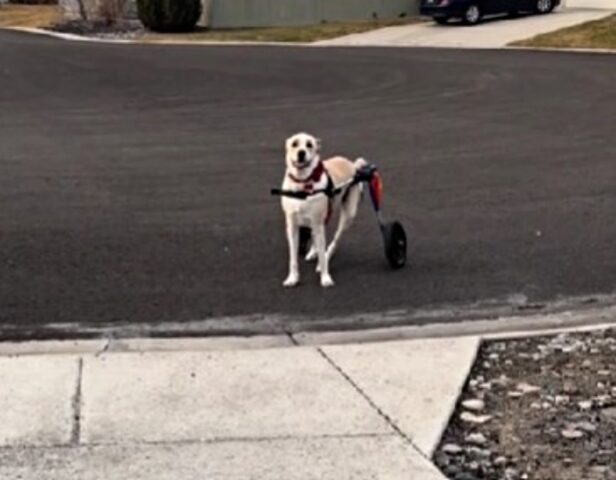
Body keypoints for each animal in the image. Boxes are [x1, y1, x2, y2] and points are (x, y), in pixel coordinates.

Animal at [280, 133, 366, 286]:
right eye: (294, 144)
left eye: (309, 145)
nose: (301, 153)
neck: (303, 184)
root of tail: (352, 165)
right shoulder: (292, 227)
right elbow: (293, 258)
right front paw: (292, 278)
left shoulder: (319, 224)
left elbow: (322, 252)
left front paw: (325, 277)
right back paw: (312, 252)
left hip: (347, 216)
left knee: (335, 241)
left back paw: (325, 257)